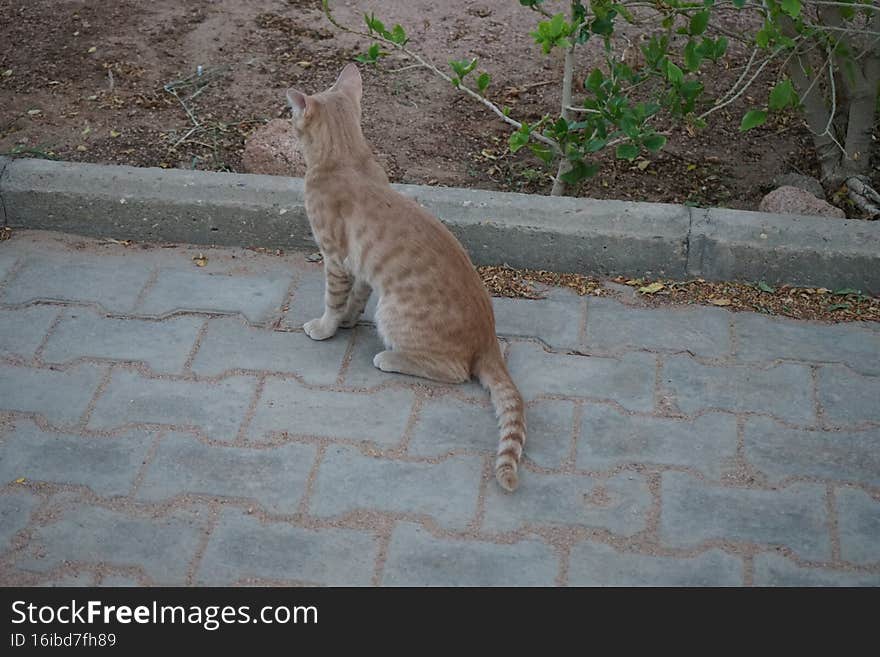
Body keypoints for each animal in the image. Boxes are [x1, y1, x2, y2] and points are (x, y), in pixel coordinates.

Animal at [288, 64, 524, 490]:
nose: (286, 120)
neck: (346, 157)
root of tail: (488, 338)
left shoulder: (335, 258)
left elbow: (332, 299)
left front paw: (325, 327)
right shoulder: (364, 267)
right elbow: (355, 297)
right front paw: (347, 321)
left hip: (393, 312)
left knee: (455, 372)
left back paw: (390, 357)